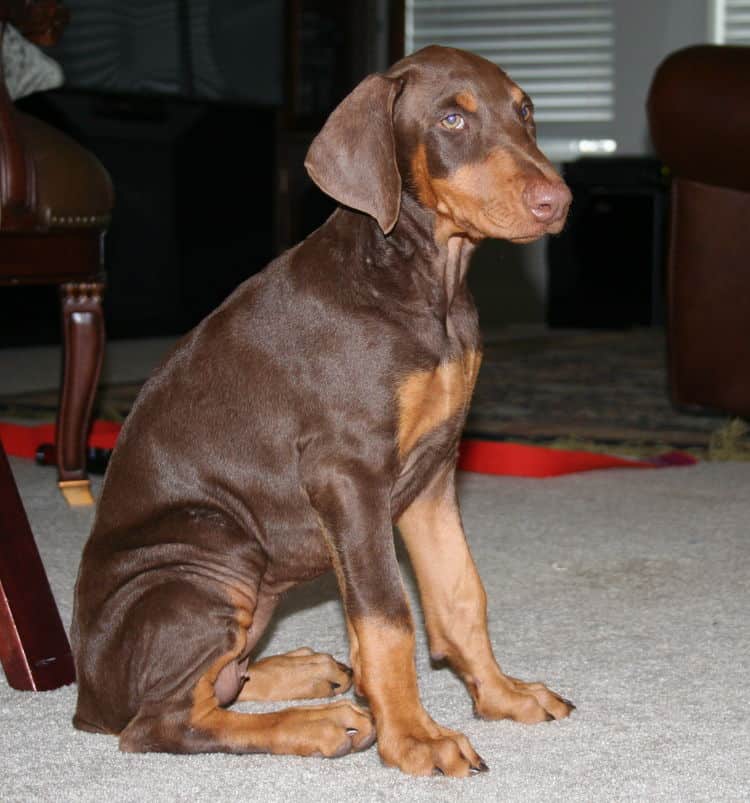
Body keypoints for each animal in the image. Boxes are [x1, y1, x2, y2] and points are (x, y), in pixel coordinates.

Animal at [72, 45, 576, 780]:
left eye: (525, 111)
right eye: (452, 119)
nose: (556, 202)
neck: (421, 283)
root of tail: (85, 695)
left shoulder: (432, 473)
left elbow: (460, 593)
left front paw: (503, 695)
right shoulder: (350, 475)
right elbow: (387, 615)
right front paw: (414, 737)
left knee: (223, 679)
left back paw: (303, 673)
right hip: (214, 550)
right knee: (161, 722)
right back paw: (317, 723)